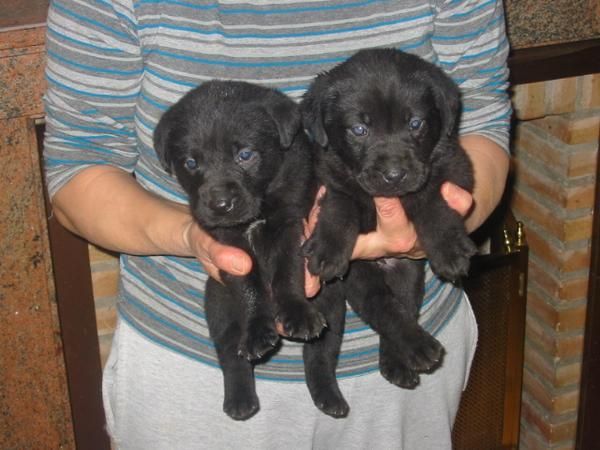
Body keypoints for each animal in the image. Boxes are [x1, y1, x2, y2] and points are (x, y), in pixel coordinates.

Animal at [152, 81, 336, 422]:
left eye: (245, 155)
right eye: (191, 163)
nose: (220, 204)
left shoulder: (289, 224)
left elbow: (287, 271)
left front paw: (296, 311)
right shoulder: (227, 247)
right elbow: (248, 285)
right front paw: (257, 331)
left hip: (331, 304)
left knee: (321, 354)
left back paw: (330, 397)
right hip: (218, 304)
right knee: (230, 355)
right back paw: (240, 400)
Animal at [302, 47, 476, 388]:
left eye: (416, 123)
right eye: (359, 129)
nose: (394, 175)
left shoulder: (453, 168)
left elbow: (431, 200)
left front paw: (449, 249)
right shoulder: (330, 176)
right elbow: (340, 204)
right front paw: (328, 249)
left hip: (406, 268)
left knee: (403, 305)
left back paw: (402, 358)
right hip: (360, 274)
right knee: (383, 307)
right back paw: (417, 348)